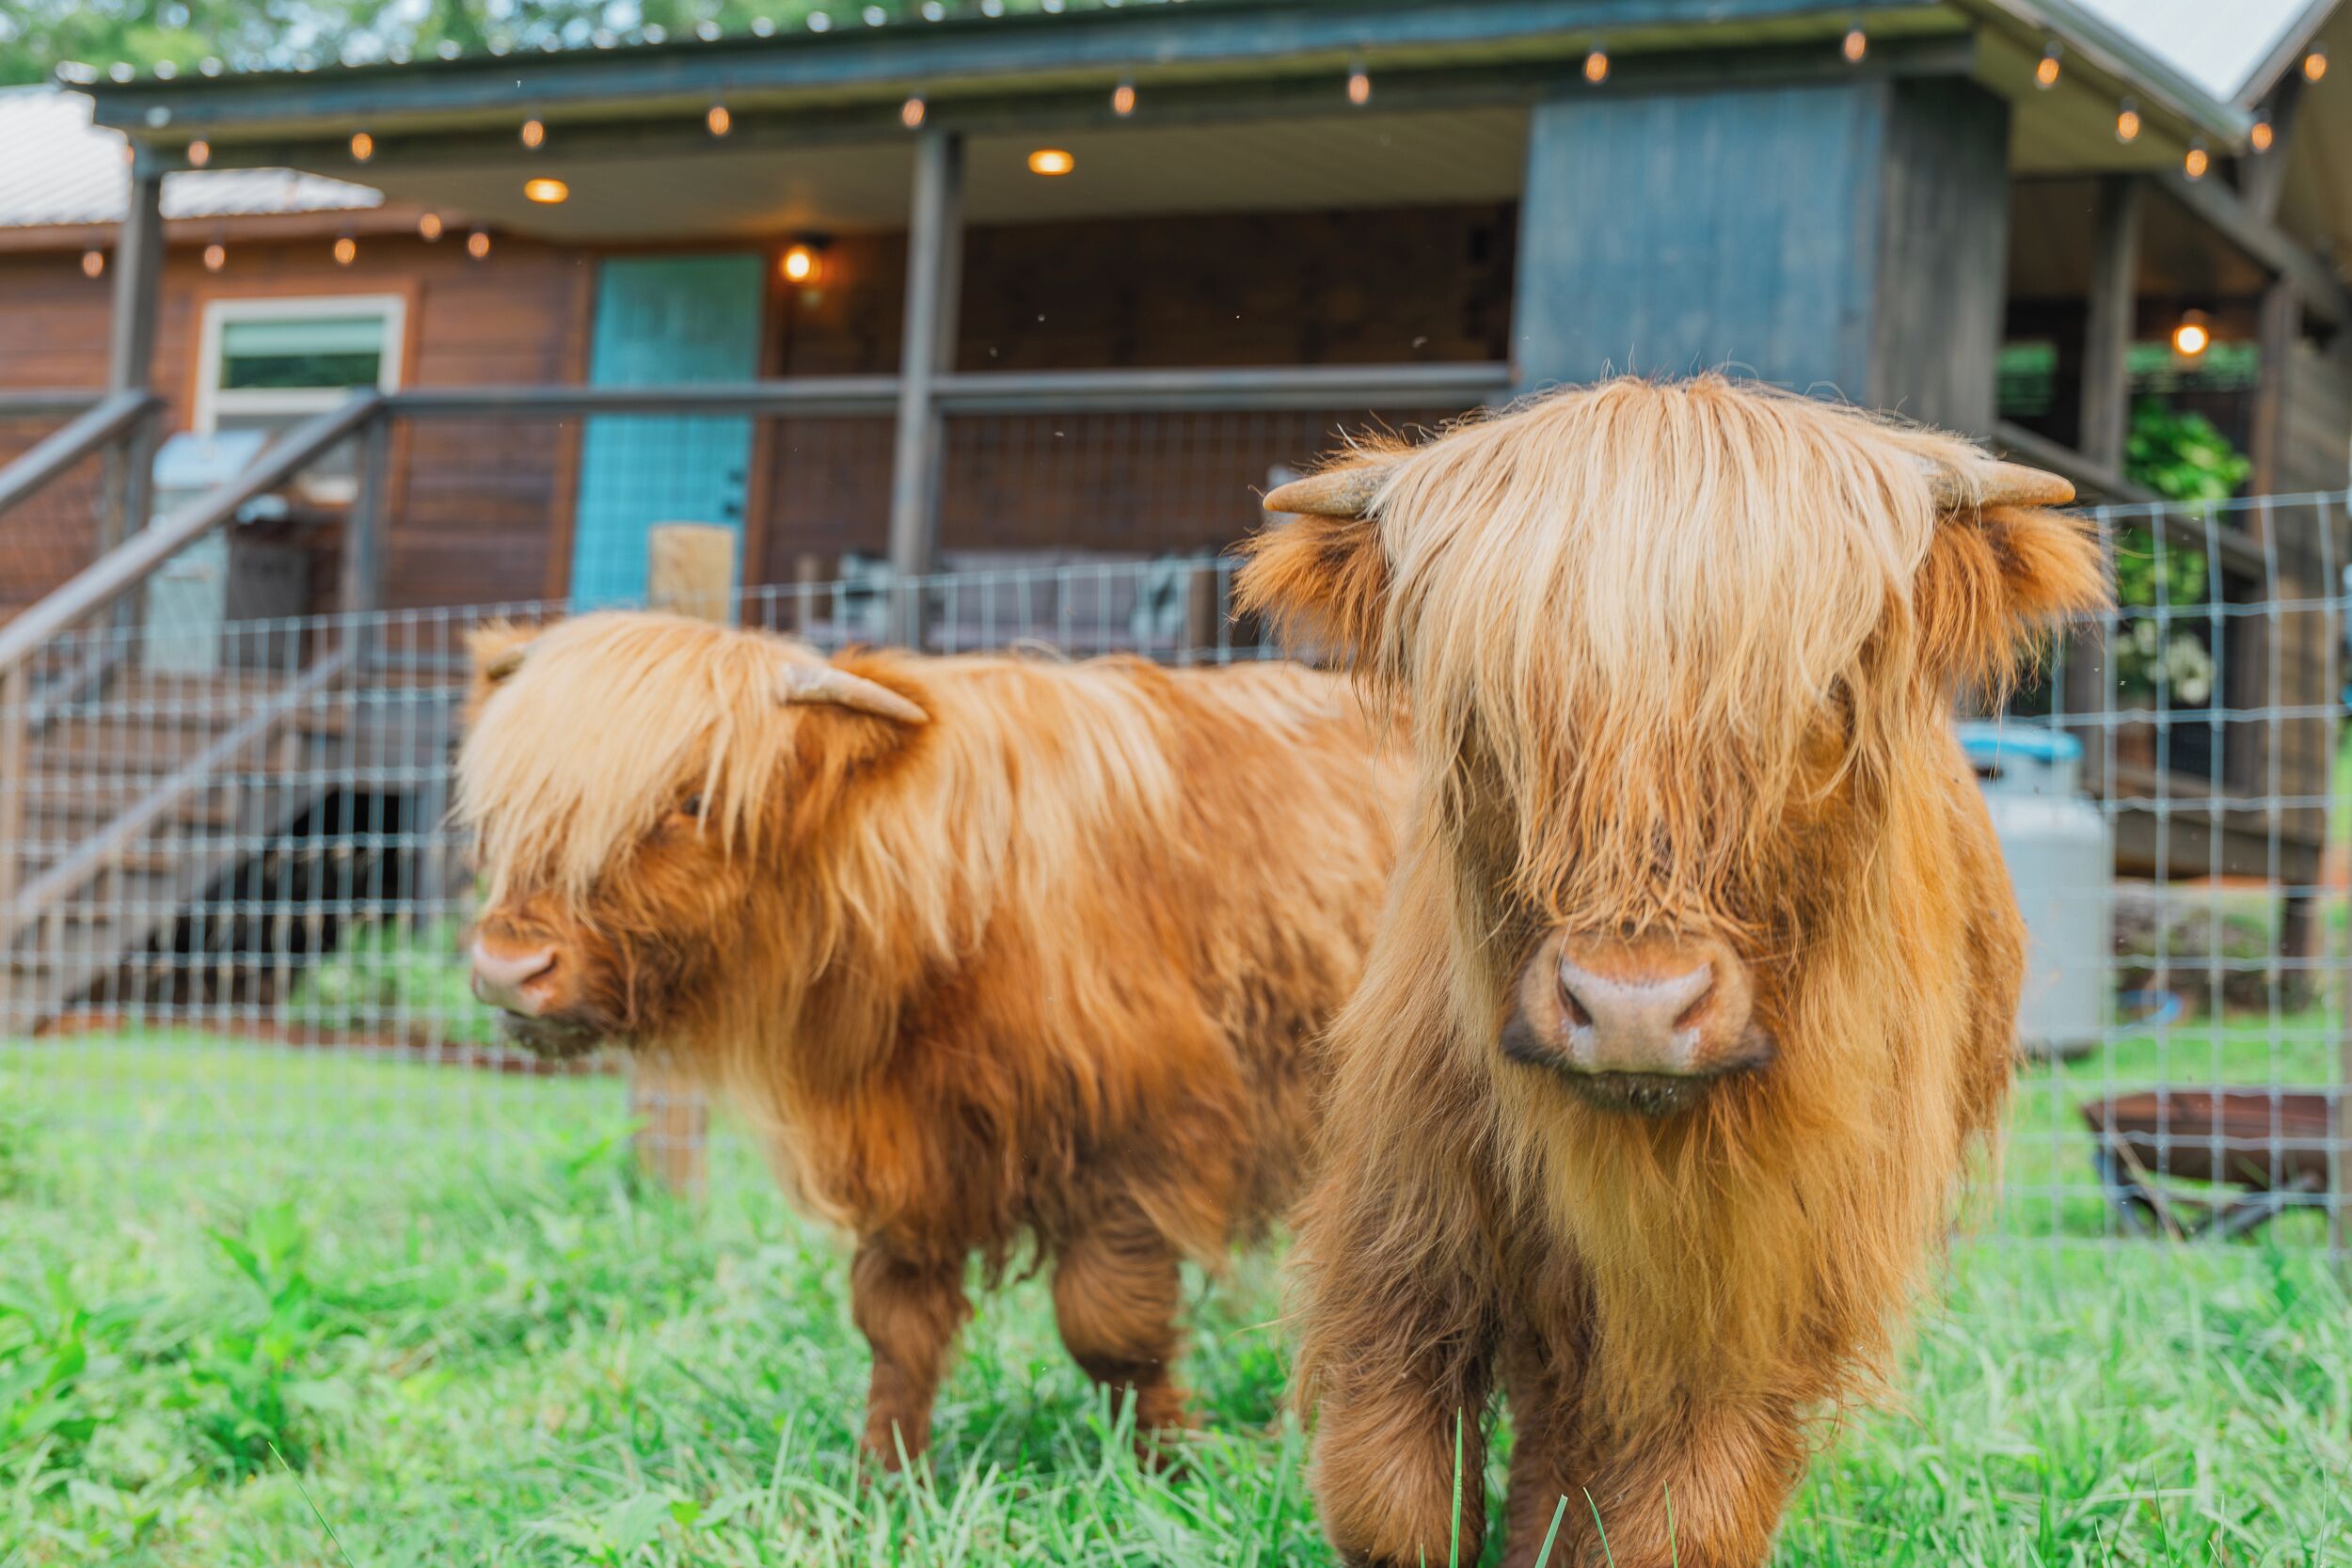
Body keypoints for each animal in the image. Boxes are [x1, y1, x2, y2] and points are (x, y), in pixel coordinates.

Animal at [453, 611, 1404, 1467]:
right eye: (506, 809)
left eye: (693, 801)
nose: (508, 967)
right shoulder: (905, 1156)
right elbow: (897, 1330)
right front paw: (886, 1478)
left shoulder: (1140, 1134)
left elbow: (1110, 1327)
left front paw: (1168, 1467)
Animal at [1237, 375, 2108, 1568]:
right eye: (1482, 706)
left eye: (1820, 696)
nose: (1632, 1009)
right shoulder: (1404, 1218)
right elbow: (1391, 1493)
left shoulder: (1769, 1290)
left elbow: (1678, 1518)